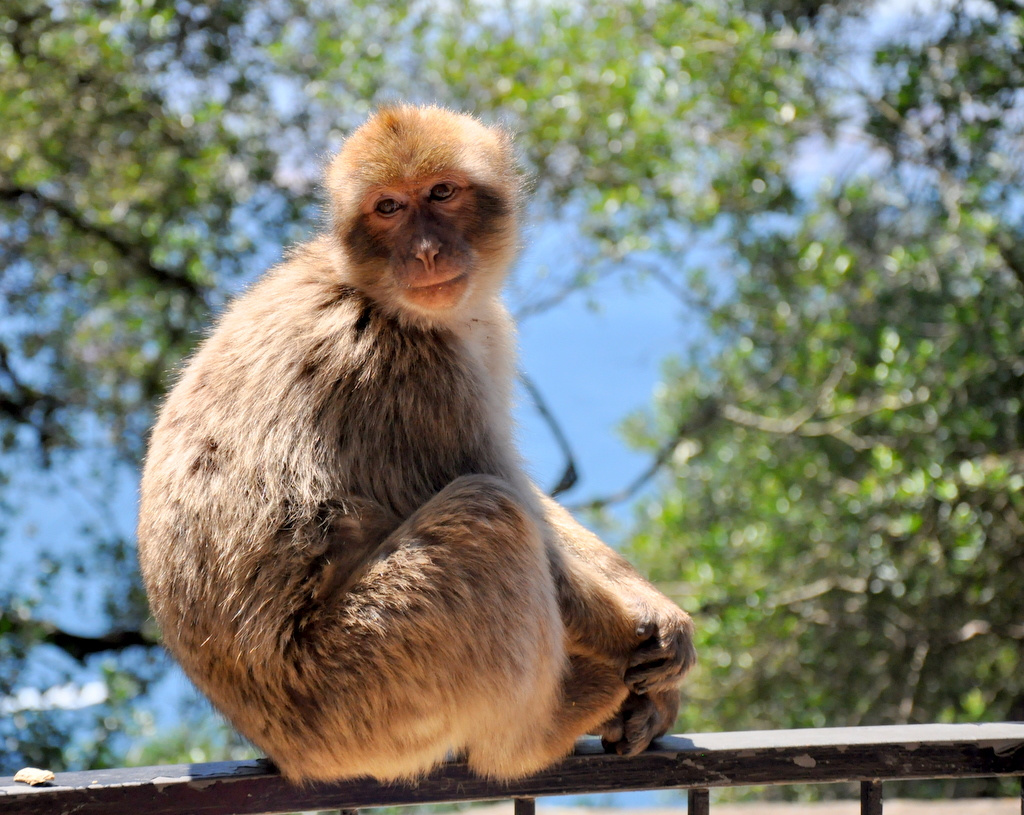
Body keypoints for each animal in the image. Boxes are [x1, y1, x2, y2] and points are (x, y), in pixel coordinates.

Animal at [136, 103, 696, 782]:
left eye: (442, 193)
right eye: (388, 208)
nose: (426, 252)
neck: (374, 294)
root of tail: (291, 755)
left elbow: (536, 504)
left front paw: (654, 610)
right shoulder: (409, 375)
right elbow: (515, 506)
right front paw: (645, 645)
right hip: (367, 681)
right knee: (489, 513)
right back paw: (546, 729)